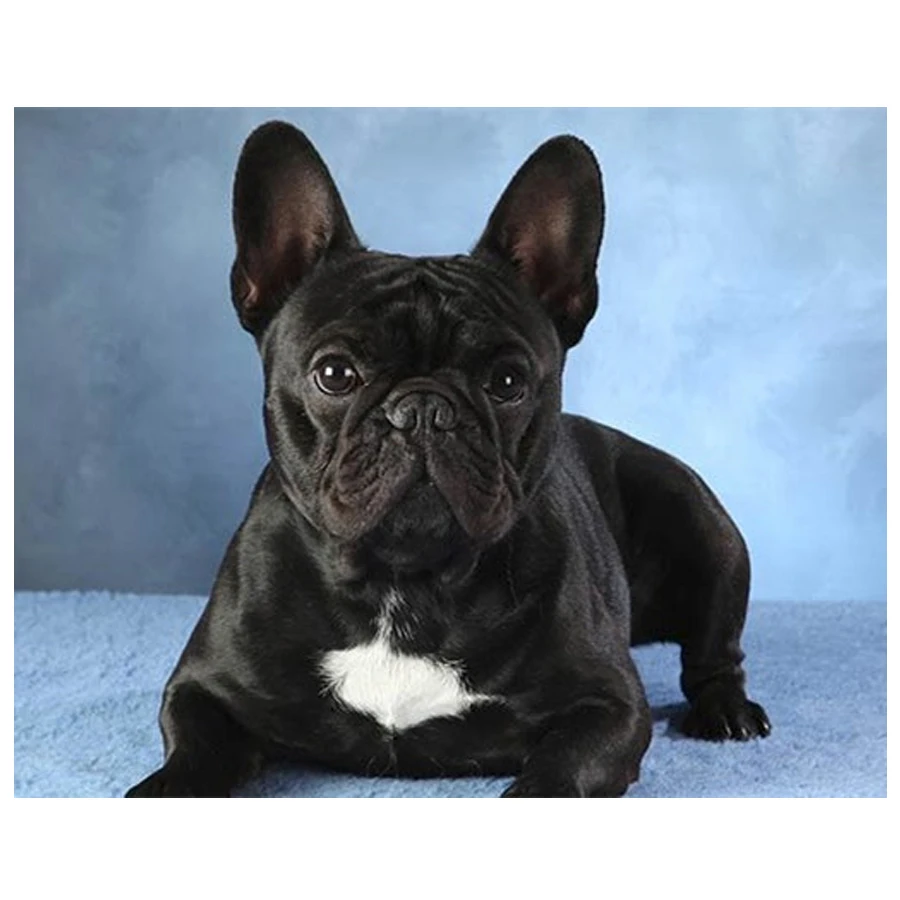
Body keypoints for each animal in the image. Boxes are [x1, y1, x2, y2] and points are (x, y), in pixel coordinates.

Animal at [126, 121, 770, 798]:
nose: (423, 410)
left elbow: (558, 774)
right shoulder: (202, 687)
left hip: (704, 528)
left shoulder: (609, 705)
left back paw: (727, 710)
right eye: (334, 374)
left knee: (715, 654)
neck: (403, 583)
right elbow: (195, 750)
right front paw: (162, 787)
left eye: (508, 382)